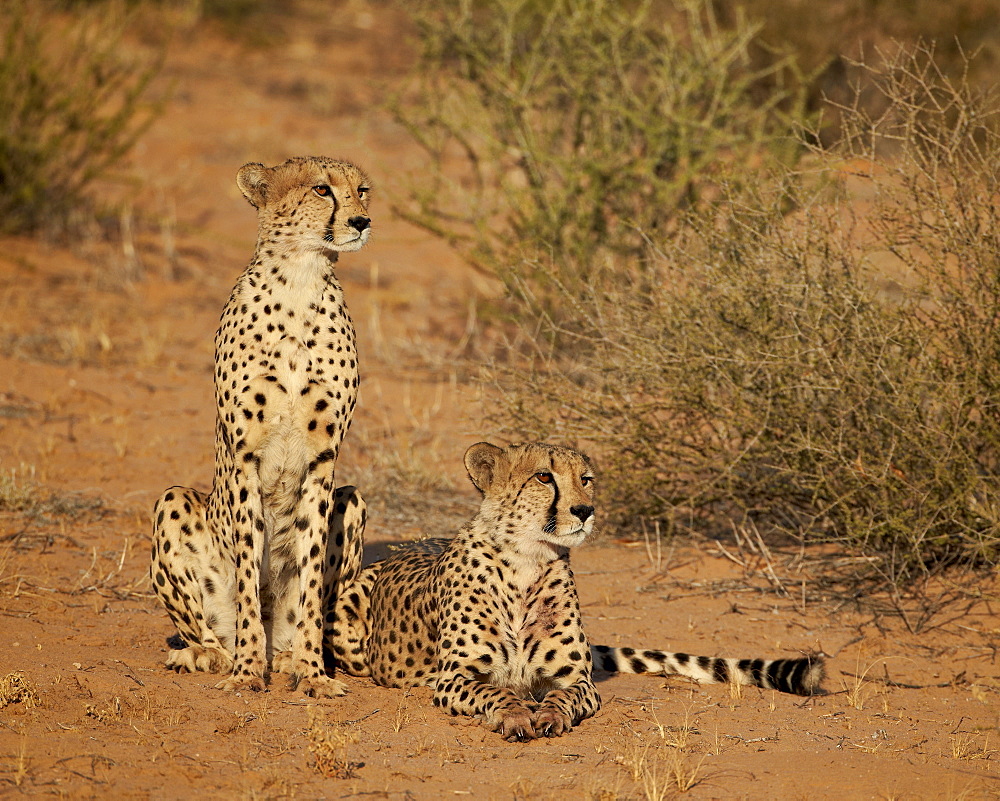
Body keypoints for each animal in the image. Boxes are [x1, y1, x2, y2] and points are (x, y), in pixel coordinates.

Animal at [154, 156, 374, 692]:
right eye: (321, 190)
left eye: (361, 190)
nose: (361, 222)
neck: (301, 277)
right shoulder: (244, 456)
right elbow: (249, 577)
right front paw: (248, 673)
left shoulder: (323, 460)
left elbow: (311, 575)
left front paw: (313, 674)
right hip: (173, 501)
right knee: (210, 630)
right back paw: (209, 656)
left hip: (353, 500)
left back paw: (292, 657)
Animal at [324, 440, 824, 740]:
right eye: (544, 477)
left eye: (585, 478)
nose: (585, 510)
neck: (524, 561)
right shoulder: (454, 677)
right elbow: (494, 692)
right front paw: (514, 713)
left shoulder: (575, 679)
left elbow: (564, 695)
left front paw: (548, 713)